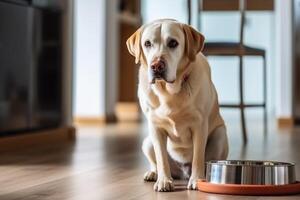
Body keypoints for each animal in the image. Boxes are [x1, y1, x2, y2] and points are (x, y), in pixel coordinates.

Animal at [126, 19, 227, 192]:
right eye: (147, 43)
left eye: (173, 43)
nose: (156, 66)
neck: (168, 92)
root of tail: (182, 172)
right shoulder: (155, 127)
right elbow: (161, 159)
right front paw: (164, 181)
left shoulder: (199, 125)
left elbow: (198, 156)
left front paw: (196, 180)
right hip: (147, 142)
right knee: (156, 161)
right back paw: (153, 174)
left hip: (220, 135)